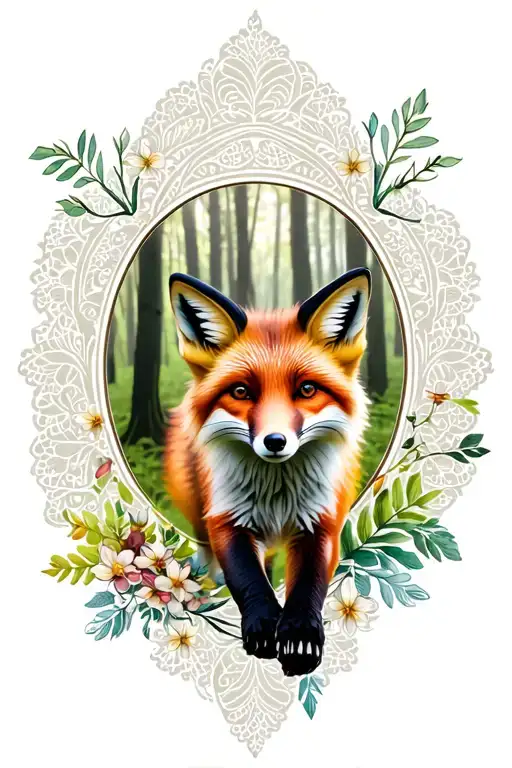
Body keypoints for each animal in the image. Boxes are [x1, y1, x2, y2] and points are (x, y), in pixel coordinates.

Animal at [165, 267, 371, 676]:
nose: (275, 441)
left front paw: (299, 635)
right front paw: (263, 624)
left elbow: (307, 584)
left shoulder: (322, 519)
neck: (277, 493)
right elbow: (248, 579)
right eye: (241, 392)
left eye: (306, 389)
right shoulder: (225, 517)